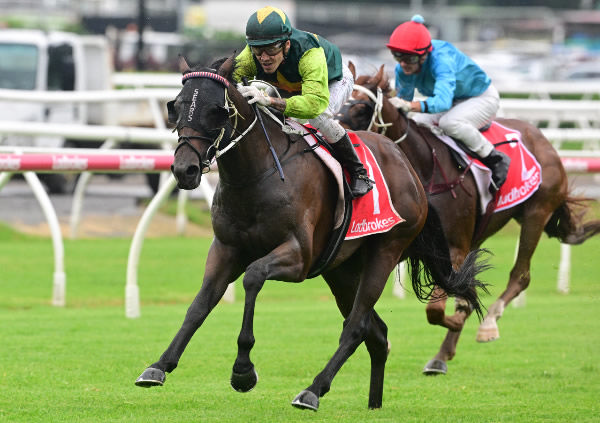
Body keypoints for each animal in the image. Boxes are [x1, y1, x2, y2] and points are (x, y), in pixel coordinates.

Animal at [134, 56, 490, 410]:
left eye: (215, 110)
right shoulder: (225, 249)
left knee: (356, 327)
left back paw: (313, 390)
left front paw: (243, 371)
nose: (185, 170)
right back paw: (373, 403)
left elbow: (253, 276)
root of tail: (409, 169)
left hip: (386, 251)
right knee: (376, 333)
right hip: (342, 271)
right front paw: (159, 365)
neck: (256, 176)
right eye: (177, 106)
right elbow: (199, 305)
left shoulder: (299, 257)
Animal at [338, 62, 600, 374]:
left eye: (362, 109)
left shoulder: (453, 247)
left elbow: (436, 309)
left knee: (520, 275)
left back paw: (487, 324)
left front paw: (460, 317)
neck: (424, 167)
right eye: (340, 105)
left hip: (536, 212)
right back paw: (441, 354)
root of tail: (541, 137)